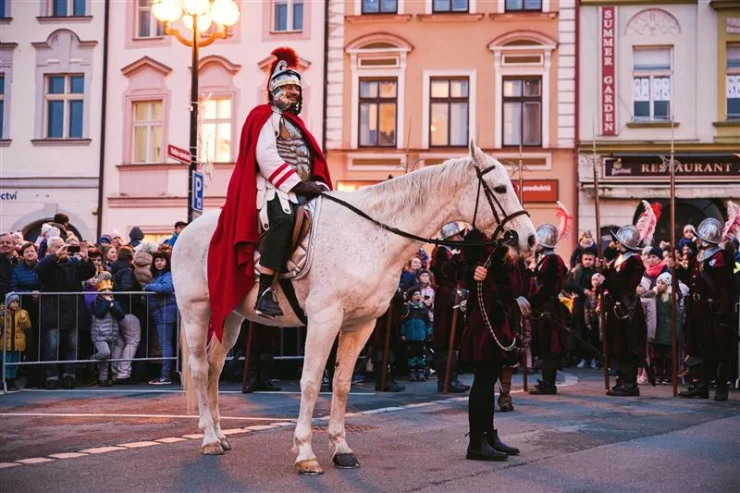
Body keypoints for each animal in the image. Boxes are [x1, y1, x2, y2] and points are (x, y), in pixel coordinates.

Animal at [171, 141, 536, 472]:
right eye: (500, 188)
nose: (529, 238)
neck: (370, 235)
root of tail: (188, 231)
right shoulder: (324, 320)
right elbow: (310, 382)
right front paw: (305, 453)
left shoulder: (361, 325)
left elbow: (342, 383)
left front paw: (341, 448)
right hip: (196, 311)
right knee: (200, 368)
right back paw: (209, 439)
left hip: (230, 317)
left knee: (215, 368)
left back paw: (220, 433)